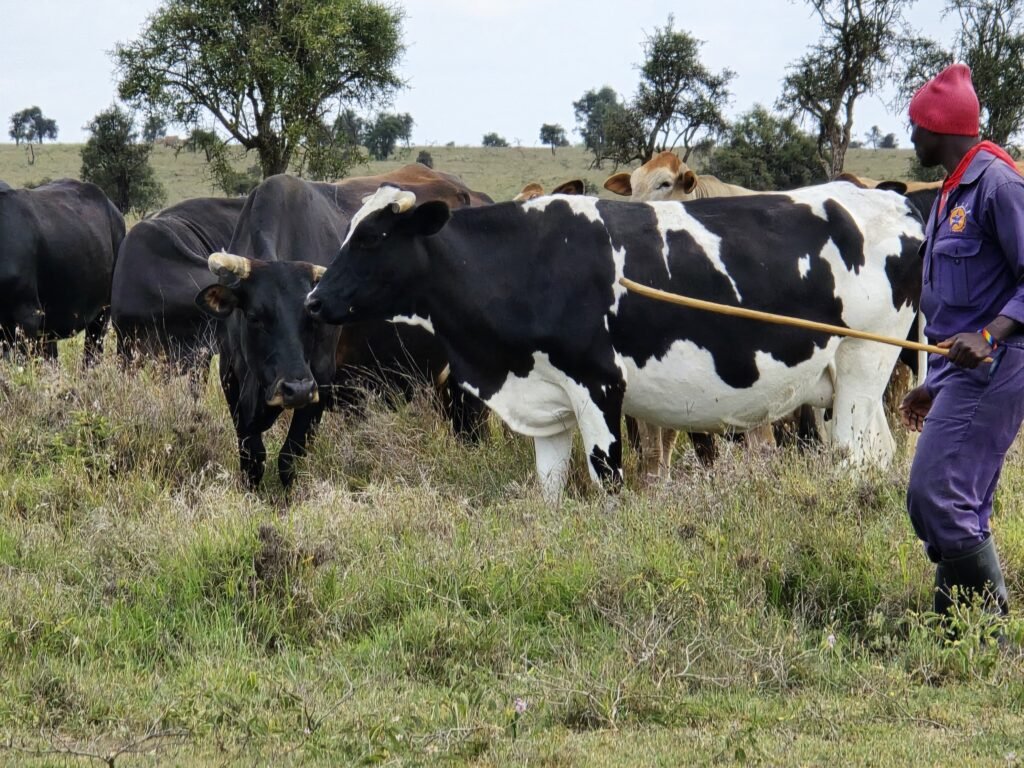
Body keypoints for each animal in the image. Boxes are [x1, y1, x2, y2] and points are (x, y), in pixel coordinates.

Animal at [197, 166, 490, 490]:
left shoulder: (320, 381)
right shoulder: (230, 376)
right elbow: (252, 457)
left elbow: (288, 458)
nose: (296, 389)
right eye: (254, 317)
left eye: (311, 316)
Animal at [305, 184, 924, 503]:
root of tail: (892, 201)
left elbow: (607, 479)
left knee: (853, 456)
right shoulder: (544, 396)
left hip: (862, 366)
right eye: (349, 230)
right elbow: (550, 489)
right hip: (850, 384)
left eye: (373, 237)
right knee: (879, 454)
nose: (313, 300)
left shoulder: (597, 384)